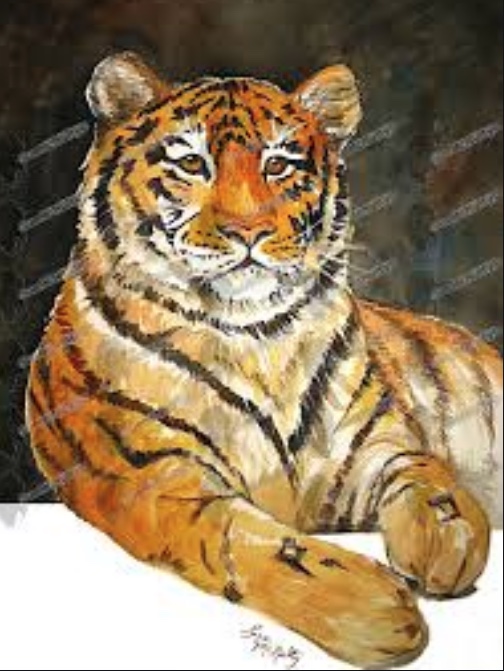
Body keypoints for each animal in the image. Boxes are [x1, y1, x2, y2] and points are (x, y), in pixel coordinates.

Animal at [26, 52, 503, 669]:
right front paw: (375, 611)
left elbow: (429, 477)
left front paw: (447, 543)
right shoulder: (158, 480)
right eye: (191, 162)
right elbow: (257, 545)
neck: (257, 337)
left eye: (278, 165)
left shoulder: (373, 446)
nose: (248, 230)